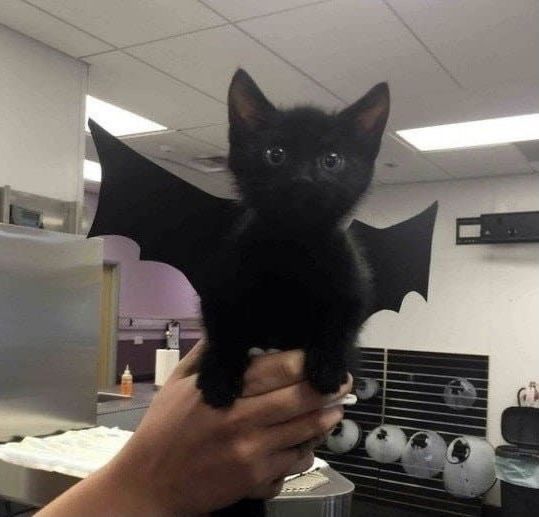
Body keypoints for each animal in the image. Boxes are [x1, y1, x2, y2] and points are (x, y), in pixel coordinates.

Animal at [196, 68, 390, 512]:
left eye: (331, 160)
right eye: (275, 153)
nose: (303, 179)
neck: (294, 248)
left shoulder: (353, 283)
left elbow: (342, 324)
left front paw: (328, 365)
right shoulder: (220, 285)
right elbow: (223, 330)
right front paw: (218, 376)